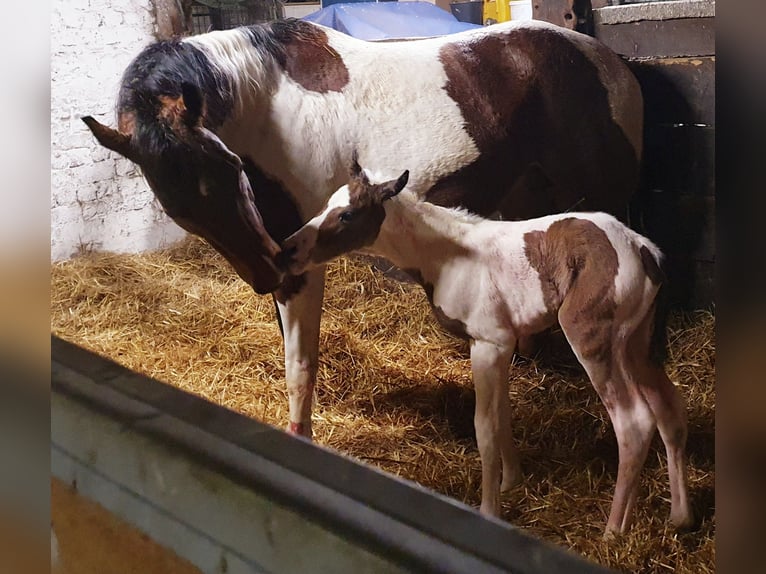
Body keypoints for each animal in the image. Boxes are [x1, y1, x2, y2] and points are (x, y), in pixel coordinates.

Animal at [84, 18, 644, 440]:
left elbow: (300, 364)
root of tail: (614, 64)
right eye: (179, 208)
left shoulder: (301, 265)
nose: (267, 271)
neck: (265, 103)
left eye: (229, 168)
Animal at [282, 161, 696, 536]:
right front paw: (511, 482)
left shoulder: (487, 343)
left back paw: (613, 531)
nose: (289, 248)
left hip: (594, 339)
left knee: (633, 421)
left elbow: (484, 426)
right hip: (636, 344)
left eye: (347, 214)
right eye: (327, 203)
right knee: (669, 409)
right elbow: (502, 414)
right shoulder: (502, 345)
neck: (447, 255)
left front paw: (489, 509)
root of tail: (643, 250)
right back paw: (680, 517)